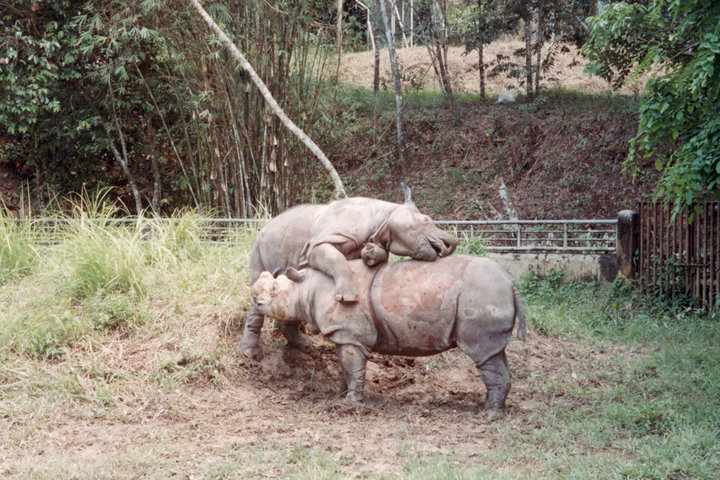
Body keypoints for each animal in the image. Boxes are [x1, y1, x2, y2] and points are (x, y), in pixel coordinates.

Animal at [239, 187, 459, 360]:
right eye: (426, 220)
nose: (451, 245)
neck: (385, 217)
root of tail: (264, 227)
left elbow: (374, 255)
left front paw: (371, 254)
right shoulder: (318, 244)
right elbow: (336, 260)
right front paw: (348, 298)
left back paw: (305, 346)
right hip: (259, 246)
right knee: (259, 282)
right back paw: (250, 355)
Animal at [251, 255, 527, 418]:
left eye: (274, 291)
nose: (256, 300)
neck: (306, 286)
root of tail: (510, 284)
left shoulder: (349, 334)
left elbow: (353, 367)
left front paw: (350, 405)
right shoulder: (346, 335)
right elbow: (345, 367)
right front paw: (341, 396)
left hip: (482, 296)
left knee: (483, 354)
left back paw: (488, 416)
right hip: (487, 294)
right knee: (494, 353)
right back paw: (491, 409)